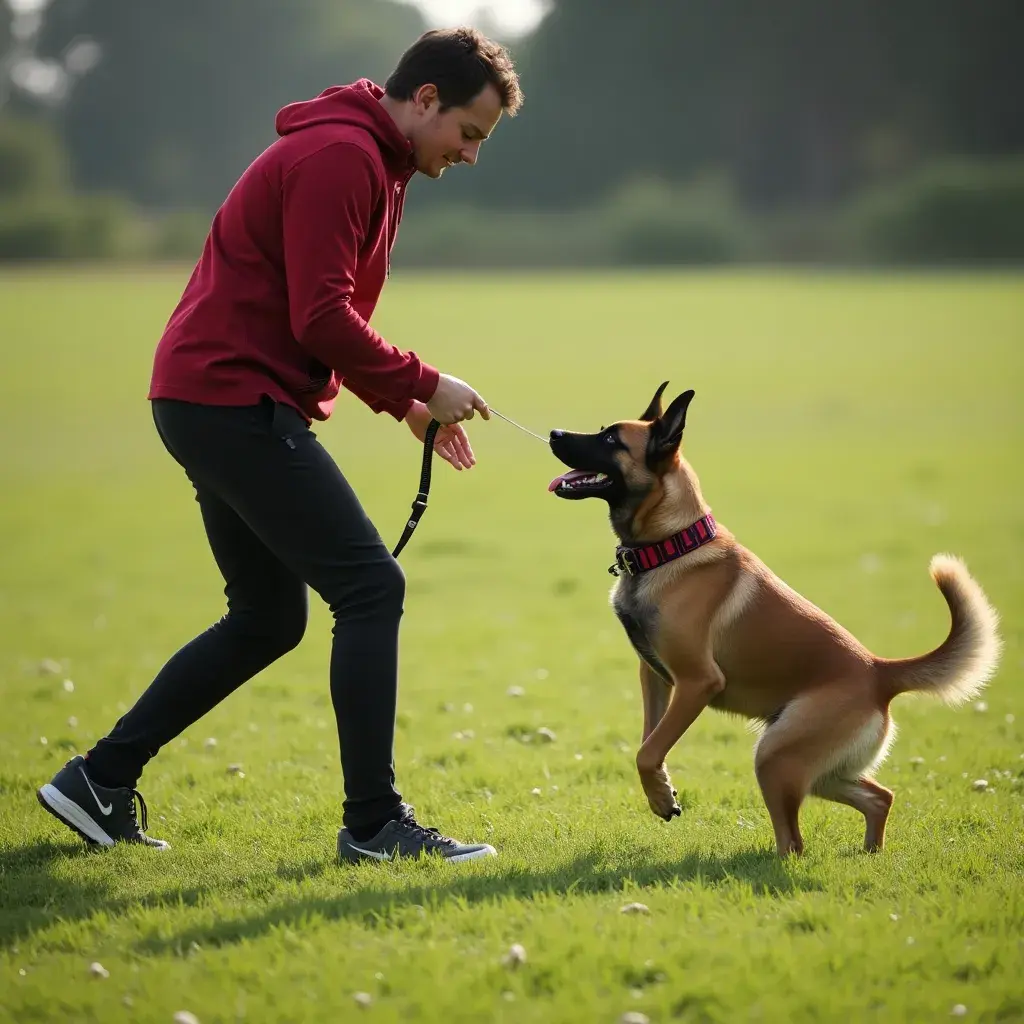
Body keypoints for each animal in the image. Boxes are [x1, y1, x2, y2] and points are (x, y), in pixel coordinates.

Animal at [548, 380, 1003, 851]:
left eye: (610, 440)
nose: (554, 433)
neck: (673, 544)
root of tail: (880, 672)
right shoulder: (655, 677)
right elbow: (649, 742)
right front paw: (662, 792)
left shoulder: (697, 682)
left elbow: (647, 750)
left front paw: (661, 796)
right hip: (819, 769)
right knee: (879, 796)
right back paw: (870, 854)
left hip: (776, 756)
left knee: (795, 843)